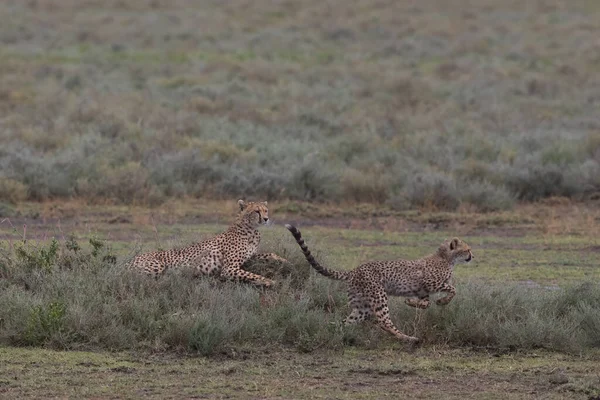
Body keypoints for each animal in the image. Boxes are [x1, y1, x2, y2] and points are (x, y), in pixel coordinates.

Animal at [127, 202, 288, 286]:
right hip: (157, 265)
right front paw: (270, 281)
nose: (266, 219)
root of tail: (128, 261)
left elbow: (269, 254)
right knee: (137, 279)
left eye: (266, 210)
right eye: (256, 211)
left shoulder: (250, 257)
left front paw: (285, 261)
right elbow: (253, 275)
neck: (251, 230)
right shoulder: (229, 269)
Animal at [286, 223, 474, 342]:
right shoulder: (431, 284)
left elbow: (426, 303)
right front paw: (442, 301)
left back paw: (339, 333)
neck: (446, 258)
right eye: (468, 249)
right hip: (379, 297)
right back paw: (409, 338)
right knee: (384, 322)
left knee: (347, 322)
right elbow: (453, 289)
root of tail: (354, 270)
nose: (473, 256)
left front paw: (411, 302)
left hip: (362, 307)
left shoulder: (422, 291)